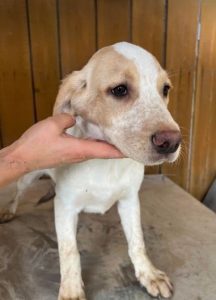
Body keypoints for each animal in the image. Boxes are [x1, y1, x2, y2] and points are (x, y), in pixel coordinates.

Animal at [1, 42, 181, 300]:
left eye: (165, 89)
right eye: (119, 90)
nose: (172, 142)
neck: (105, 167)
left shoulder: (129, 201)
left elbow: (137, 243)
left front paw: (149, 274)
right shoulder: (65, 207)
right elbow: (69, 251)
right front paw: (71, 289)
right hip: (28, 174)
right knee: (18, 193)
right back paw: (9, 210)